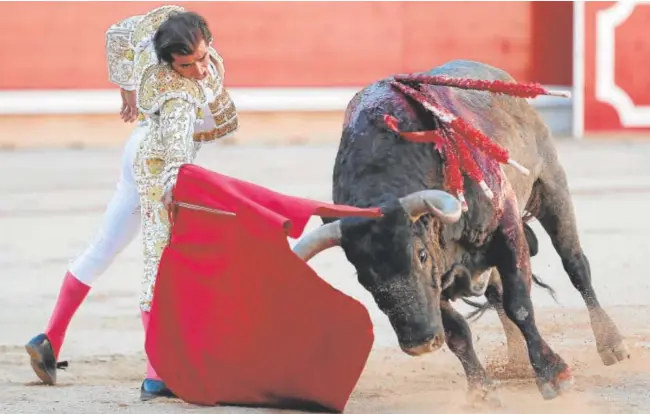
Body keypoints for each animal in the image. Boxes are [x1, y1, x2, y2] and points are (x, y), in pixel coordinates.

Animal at [294, 59, 628, 402]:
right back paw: (518, 363)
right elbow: (457, 331)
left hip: (551, 186)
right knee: (496, 294)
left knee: (575, 265)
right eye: (364, 279)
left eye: (421, 255)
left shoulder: (506, 226)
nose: (420, 344)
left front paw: (553, 375)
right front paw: (481, 390)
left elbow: (520, 303)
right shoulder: (438, 283)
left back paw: (611, 343)